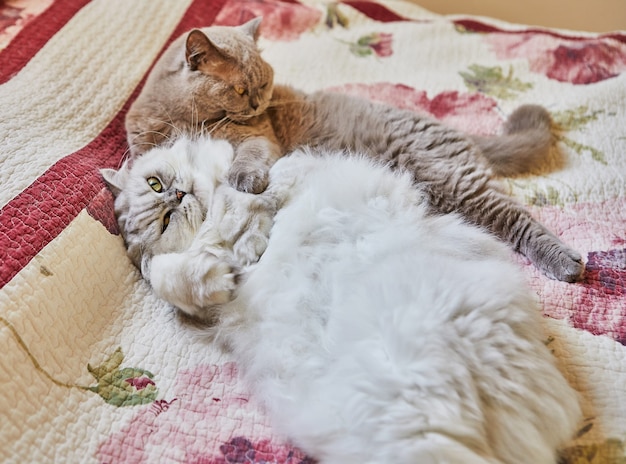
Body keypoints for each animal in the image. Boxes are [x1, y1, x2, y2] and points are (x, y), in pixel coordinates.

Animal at [100, 135, 576, 464]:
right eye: (165, 220)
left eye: (156, 183)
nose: (177, 196)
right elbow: (172, 274)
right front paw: (221, 269)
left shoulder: (285, 170)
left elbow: (253, 197)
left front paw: (246, 233)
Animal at [124, 18, 584, 282]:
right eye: (240, 89)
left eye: (264, 83)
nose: (257, 103)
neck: (183, 115)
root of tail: (454, 130)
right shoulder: (142, 142)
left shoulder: (259, 137)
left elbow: (249, 156)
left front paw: (241, 180)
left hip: (451, 178)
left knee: (515, 217)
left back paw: (567, 264)